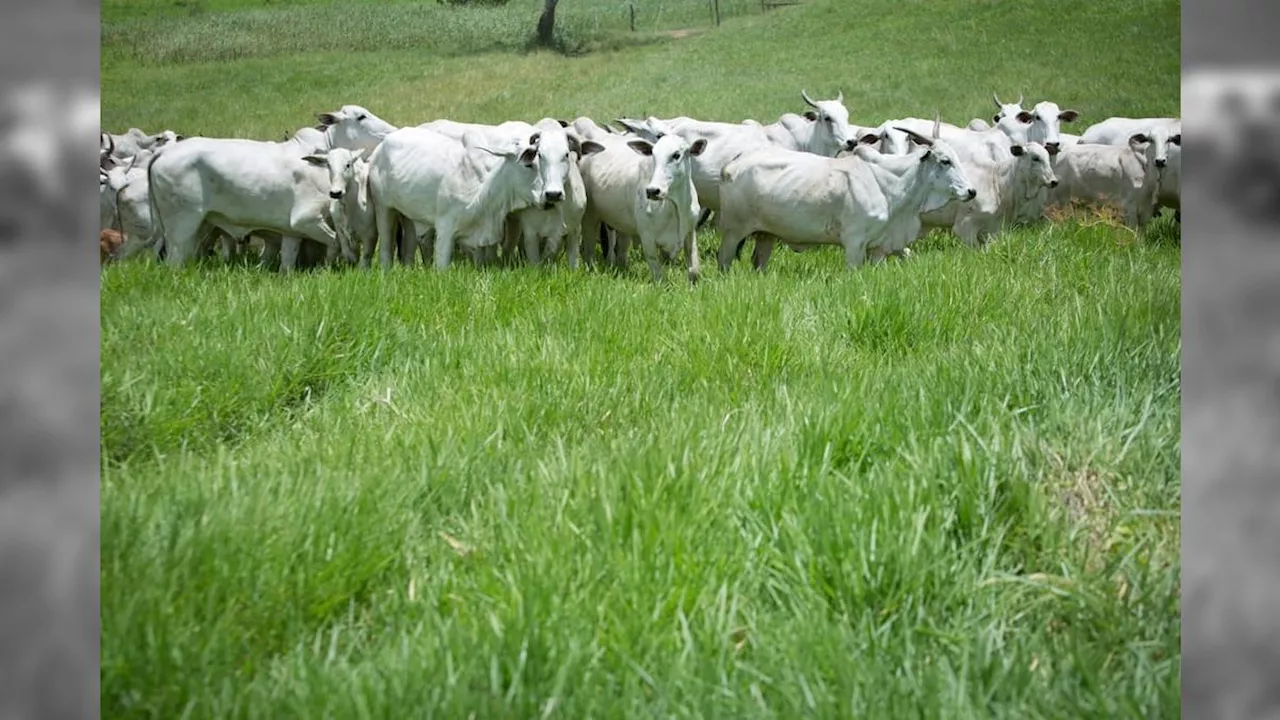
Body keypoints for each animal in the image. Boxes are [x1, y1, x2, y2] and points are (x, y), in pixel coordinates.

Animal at [366, 124, 545, 270]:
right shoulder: (445, 229)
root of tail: (383, 143)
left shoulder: (478, 242)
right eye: (528, 164)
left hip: (408, 215)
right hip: (383, 207)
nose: (547, 196)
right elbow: (442, 267)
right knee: (385, 248)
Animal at [581, 131, 711, 280]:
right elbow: (659, 275)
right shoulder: (647, 239)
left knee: (622, 250)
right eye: (653, 155)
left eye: (676, 155)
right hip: (590, 217)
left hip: (622, 224)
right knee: (589, 249)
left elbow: (694, 270)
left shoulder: (690, 232)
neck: (674, 206)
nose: (652, 191)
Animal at [716, 120, 972, 271]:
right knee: (724, 260)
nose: (972, 191)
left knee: (759, 262)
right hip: (733, 231)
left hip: (765, 235)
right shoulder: (854, 242)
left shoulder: (879, 248)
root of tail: (735, 163)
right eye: (945, 161)